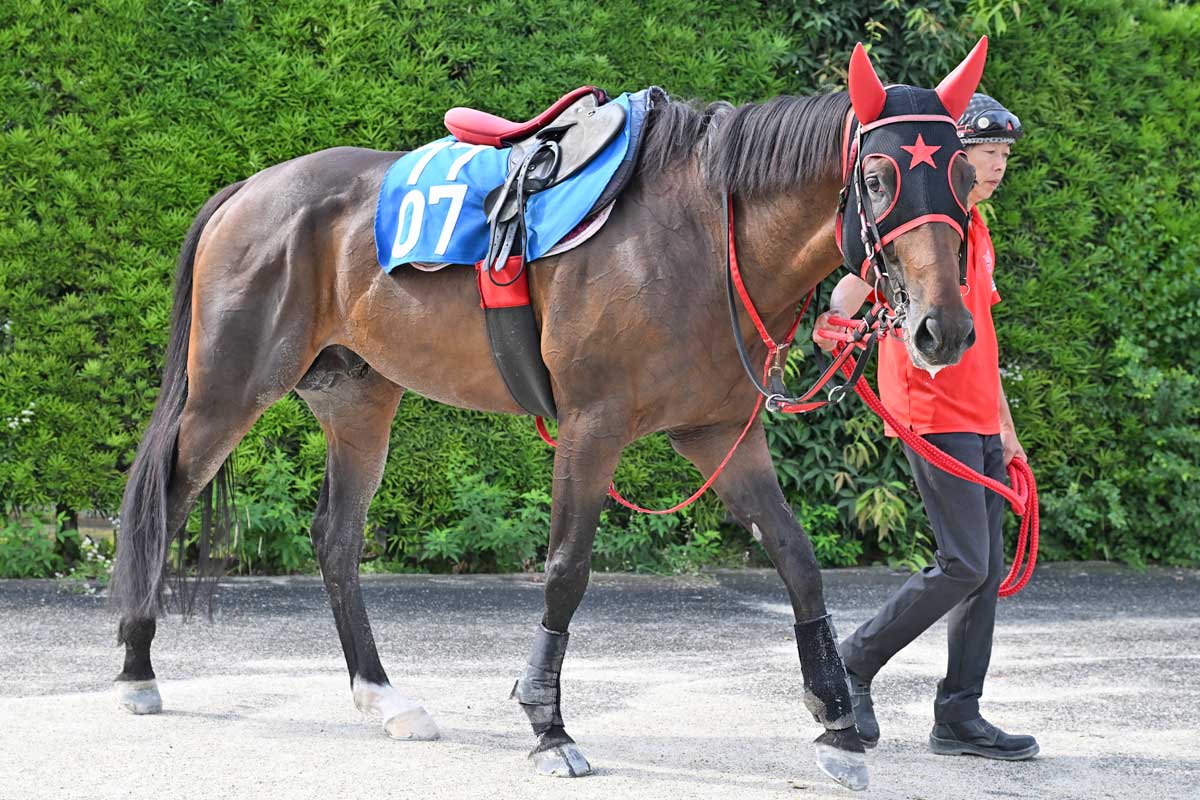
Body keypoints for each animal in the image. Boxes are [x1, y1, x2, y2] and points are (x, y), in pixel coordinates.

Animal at [109, 40, 988, 791]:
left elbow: (798, 560)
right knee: (165, 503)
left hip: (358, 398)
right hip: (228, 392)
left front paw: (838, 723)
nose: (941, 329)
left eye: (959, 176)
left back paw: (382, 694)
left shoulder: (718, 435)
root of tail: (246, 191)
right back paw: (136, 669)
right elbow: (567, 570)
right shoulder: (592, 426)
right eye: (878, 175)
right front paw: (548, 726)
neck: (700, 236)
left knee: (336, 537)